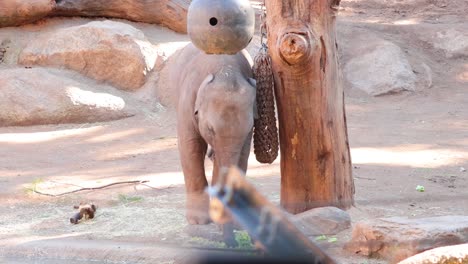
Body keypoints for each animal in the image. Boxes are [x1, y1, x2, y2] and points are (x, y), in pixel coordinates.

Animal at [174, 43, 258, 225]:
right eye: (210, 129)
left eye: (249, 128)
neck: (225, 69)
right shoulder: (187, 101)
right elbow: (190, 146)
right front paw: (198, 220)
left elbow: (242, 154)